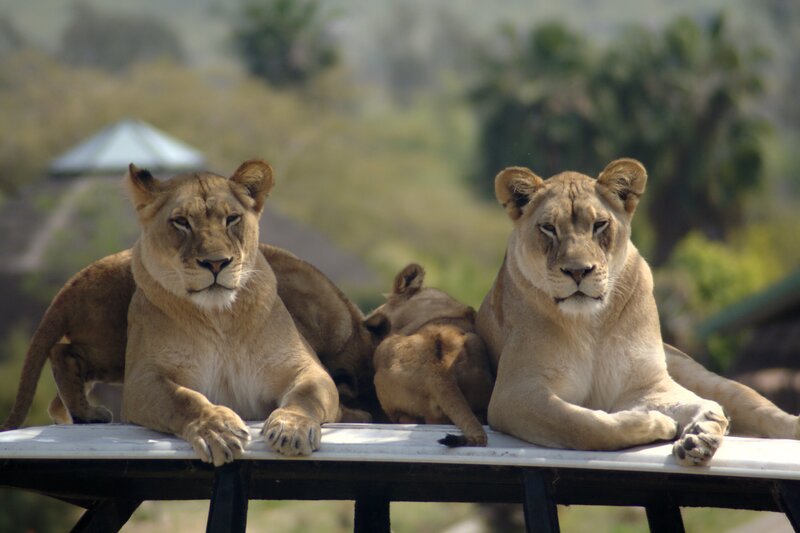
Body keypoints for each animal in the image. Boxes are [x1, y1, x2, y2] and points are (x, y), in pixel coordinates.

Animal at [476, 158, 799, 467]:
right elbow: (581, 424)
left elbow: (686, 403)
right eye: (548, 228)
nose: (578, 271)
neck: (590, 323)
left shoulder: (645, 385)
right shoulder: (514, 393)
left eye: (599, 225)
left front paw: (701, 429)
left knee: (753, 405)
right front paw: (658, 423)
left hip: (705, 377)